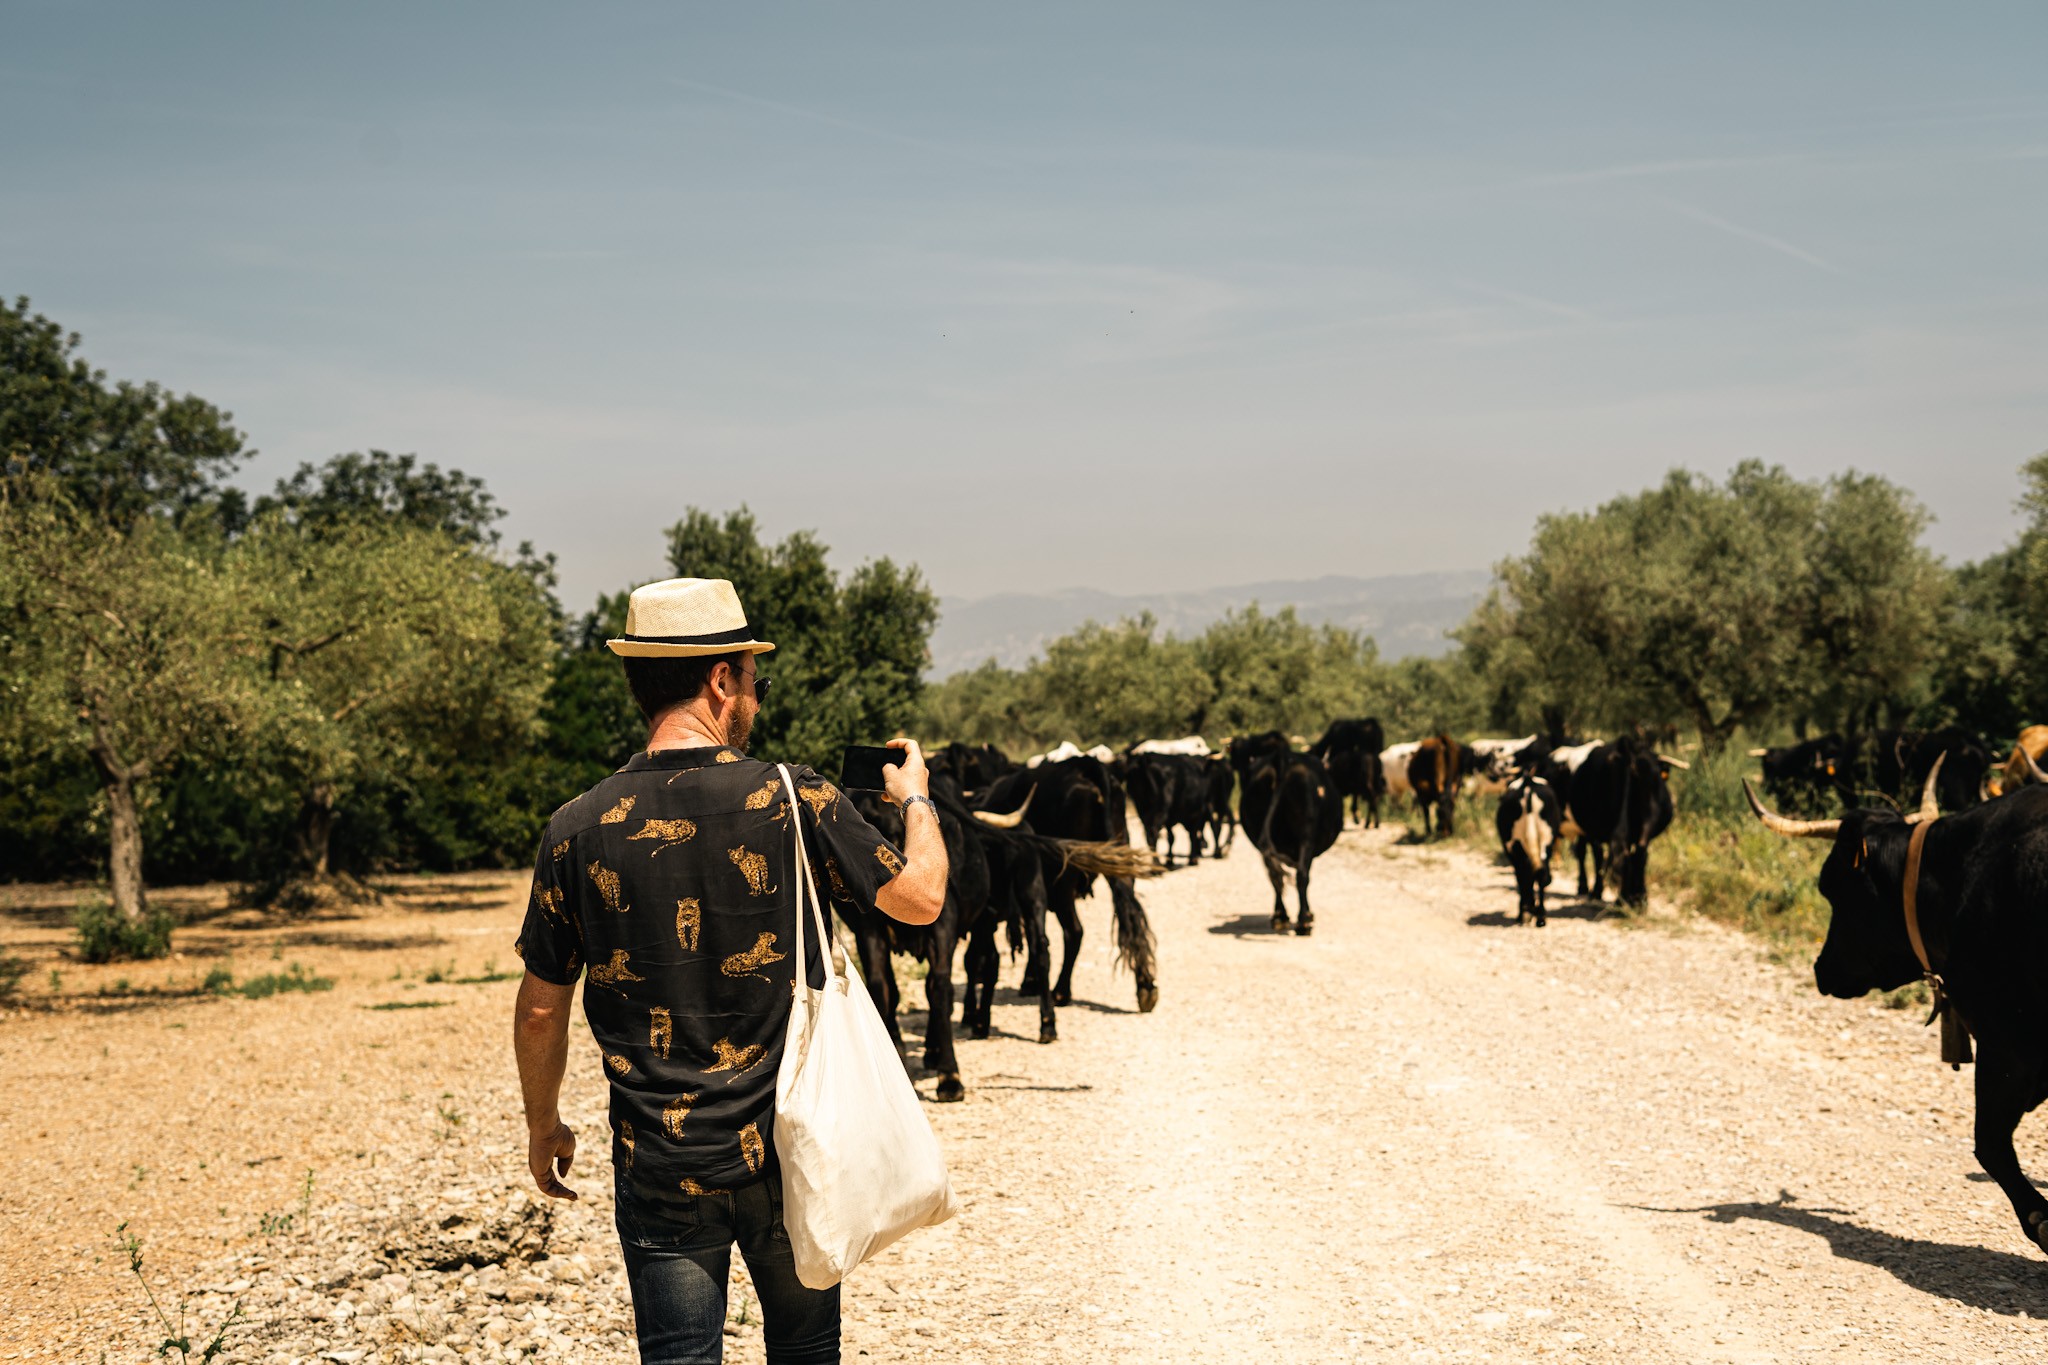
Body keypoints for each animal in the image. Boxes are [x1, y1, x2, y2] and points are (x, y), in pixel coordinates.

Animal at [1228, 736, 1343, 941]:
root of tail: (1281, 759)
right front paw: (1308, 914)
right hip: (1306, 837)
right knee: (1301, 875)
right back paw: (1304, 921)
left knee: (1274, 875)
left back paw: (1280, 917)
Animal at [1499, 777, 1556, 929]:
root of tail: (1527, 781)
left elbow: (1521, 879)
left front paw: (1525, 911)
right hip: (1547, 840)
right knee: (1542, 873)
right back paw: (1540, 916)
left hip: (1517, 844)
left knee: (1526, 871)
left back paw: (1526, 913)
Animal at [1564, 736, 1679, 908]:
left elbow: (1597, 856)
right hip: (1646, 819)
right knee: (1637, 853)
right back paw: (1634, 899)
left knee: (1623, 854)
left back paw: (1625, 899)